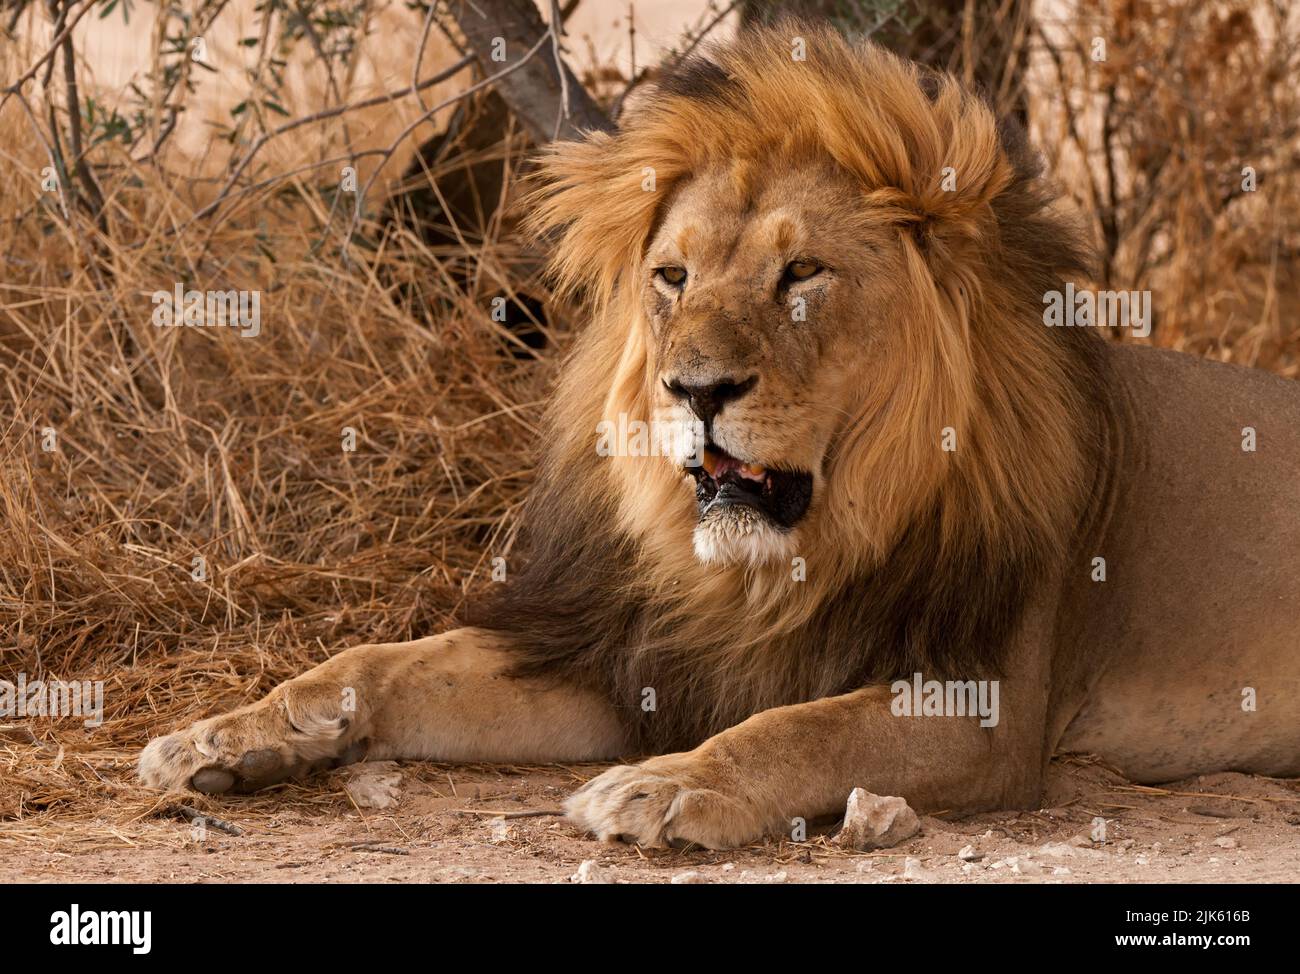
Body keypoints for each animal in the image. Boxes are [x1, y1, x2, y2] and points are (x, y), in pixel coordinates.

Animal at [139, 26, 1300, 847]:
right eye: (673, 276)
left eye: (802, 274)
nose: (695, 389)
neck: (770, 571)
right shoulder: (629, 656)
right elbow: (383, 663)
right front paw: (229, 733)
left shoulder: (987, 702)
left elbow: (802, 725)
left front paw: (670, 785)